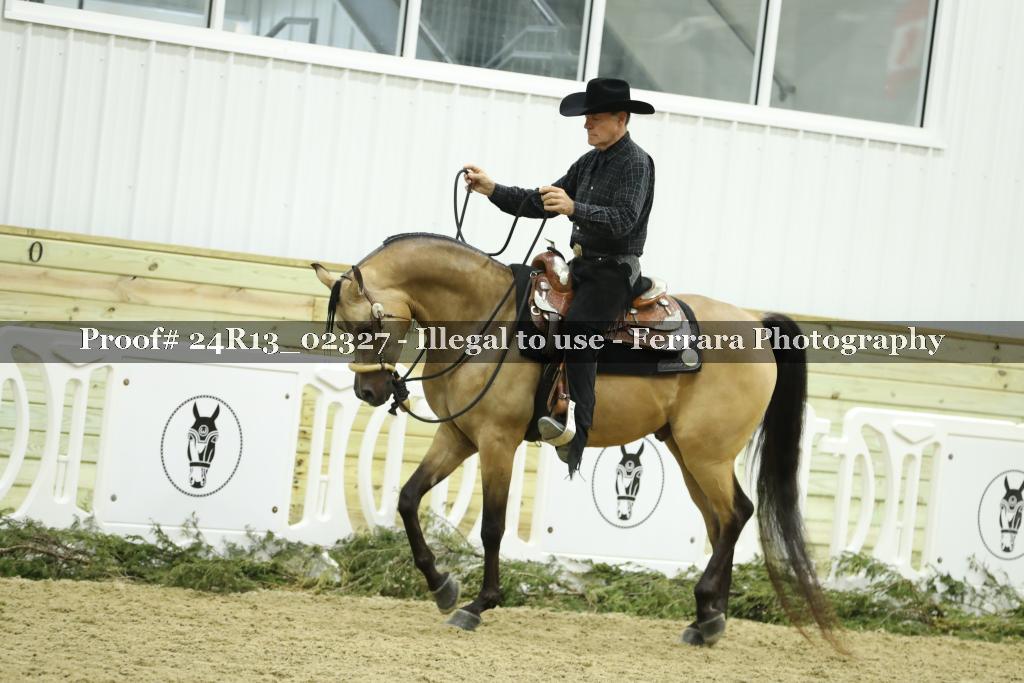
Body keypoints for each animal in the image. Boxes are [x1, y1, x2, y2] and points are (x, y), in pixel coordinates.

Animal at [311, 232, 839, 648]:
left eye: (367, 325)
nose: (368, 391)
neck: (485, 319)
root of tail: (758, 325)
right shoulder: (458, 435)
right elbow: (407, 498)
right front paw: (442, 587)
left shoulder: (498, 442)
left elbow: (492, 527)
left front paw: (479, 605)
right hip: (689, 453)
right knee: (719, 521)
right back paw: (708, 622)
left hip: (706, 453)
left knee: (736, 514)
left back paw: (707, 611)